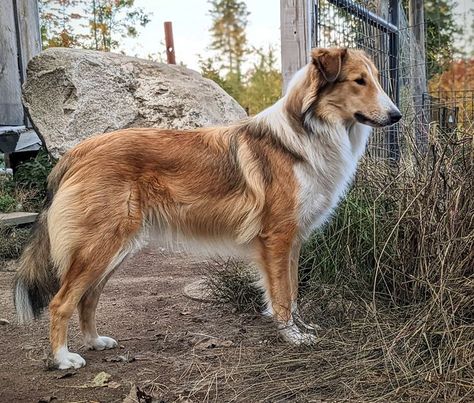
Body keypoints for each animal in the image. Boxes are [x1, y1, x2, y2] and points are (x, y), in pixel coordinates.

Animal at [13, 48, 400, 370]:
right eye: (358, 81)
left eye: (376, 79)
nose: (396, 116)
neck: (308, 133)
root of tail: (77, 152)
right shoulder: (277, 238)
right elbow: (282, 294)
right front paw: (292, 336)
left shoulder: (293, 241)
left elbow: (292, 291)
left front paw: (301, 327)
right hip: (101, 246)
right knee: (61, 301)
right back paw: (63, 358)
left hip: (115, 249)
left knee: (88, 297)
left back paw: (95, 341)